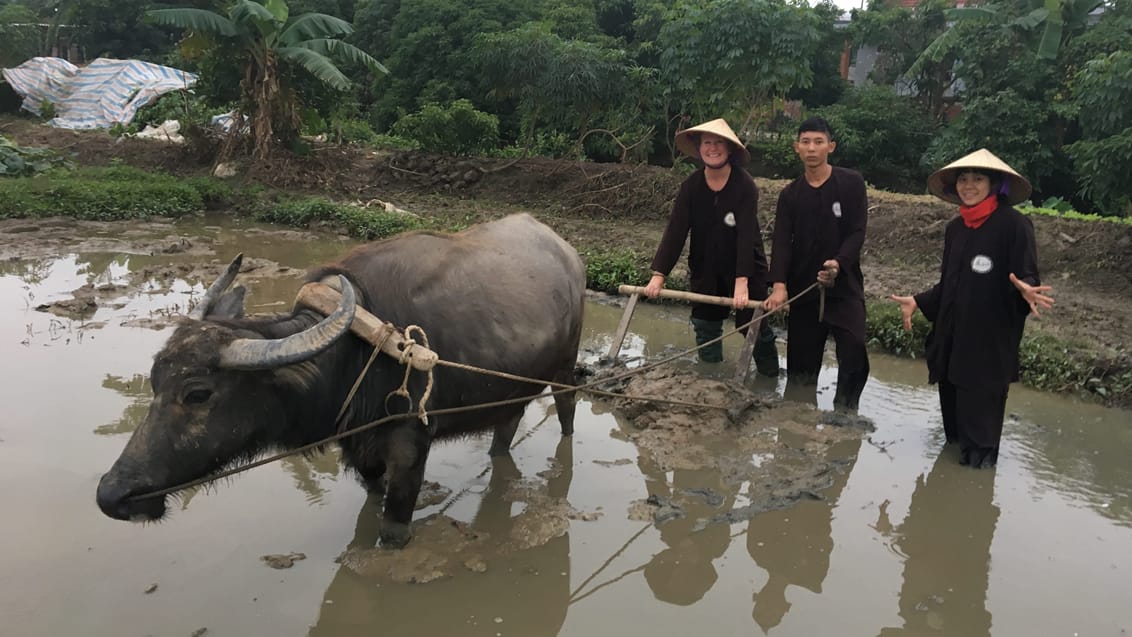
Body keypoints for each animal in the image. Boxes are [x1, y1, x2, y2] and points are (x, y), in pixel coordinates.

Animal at [96, 216, 584, 547]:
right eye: (154, 383)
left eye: (198, 393)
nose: (111, 495)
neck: (355, 353)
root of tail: (568, 253)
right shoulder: (358, 448)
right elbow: (371, 498)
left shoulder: (411, 445)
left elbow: (393, 529)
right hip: (513, 387)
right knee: (507, 426)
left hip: (564, 370)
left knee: (566, 409)